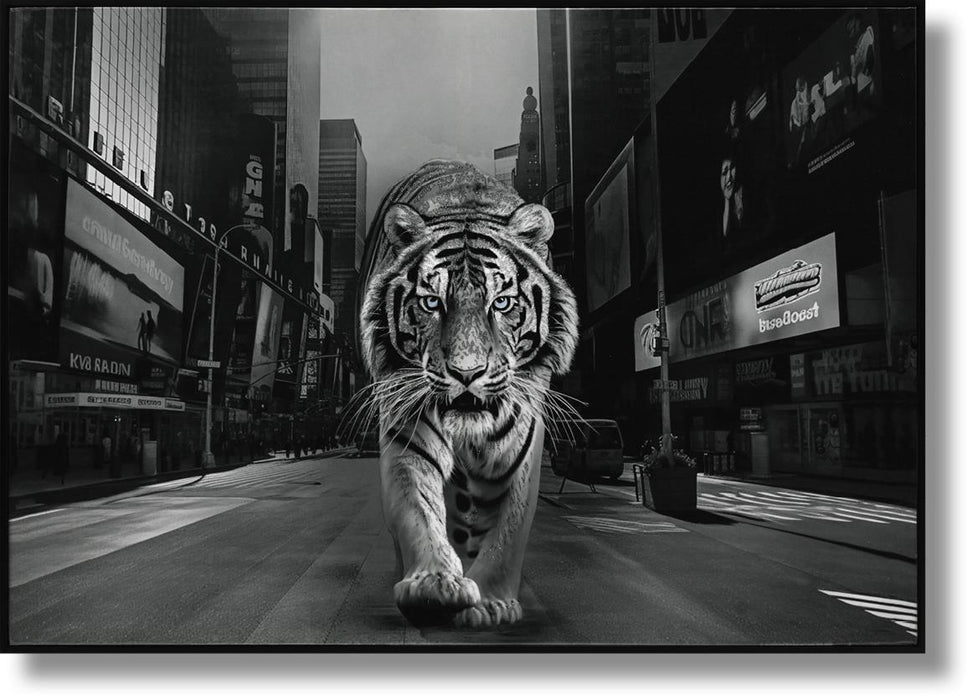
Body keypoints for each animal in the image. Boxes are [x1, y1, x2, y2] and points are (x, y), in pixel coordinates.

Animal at [354, 160, 579, 628]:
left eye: (502, 303)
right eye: (431, 302)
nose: (467, 372)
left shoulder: (521, 442)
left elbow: (509, 528)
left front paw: (491, 601)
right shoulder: (407, 428)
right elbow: (417, 507)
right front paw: (434, 583)